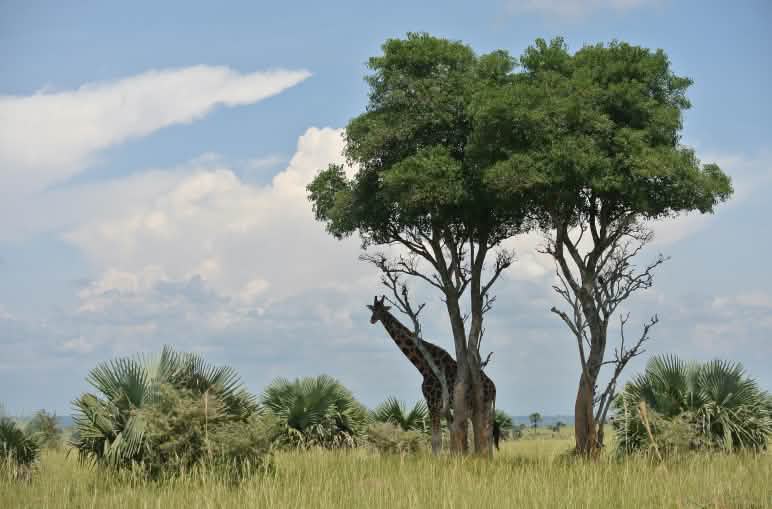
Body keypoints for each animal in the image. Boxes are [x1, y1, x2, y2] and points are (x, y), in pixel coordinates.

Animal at [366, 295, 498, 454]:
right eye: (373, 309)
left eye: (381, 310)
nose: (372, 319)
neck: (424, 366)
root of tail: (494, 388)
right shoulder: (437, 405)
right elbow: (437, 439)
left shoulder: (432, 402)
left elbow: (436, 440)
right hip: (481, 408)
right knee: (486, 433)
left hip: (482, 406)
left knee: (486, 433)